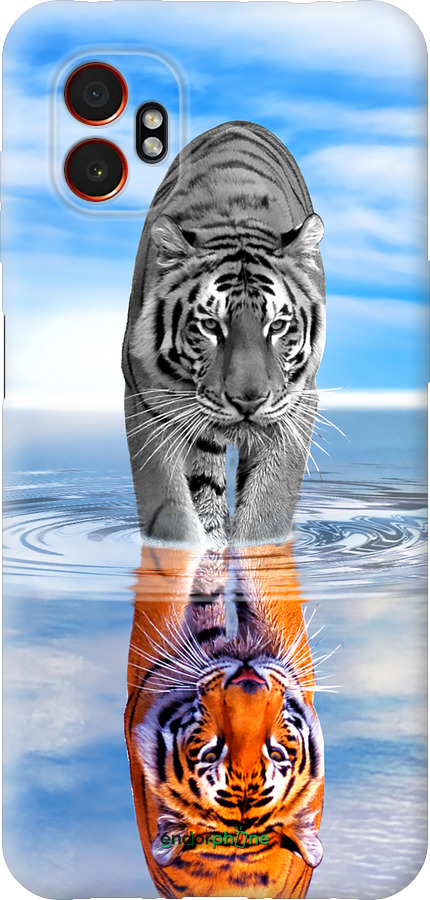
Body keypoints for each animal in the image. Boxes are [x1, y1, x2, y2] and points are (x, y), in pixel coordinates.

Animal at [122, 121, 326, 549]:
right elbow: (170, 512)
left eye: (277, 326)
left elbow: (268, 509)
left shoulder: (297, 404)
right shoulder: (146, 401)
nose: (248, 401)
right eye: (210, 326)